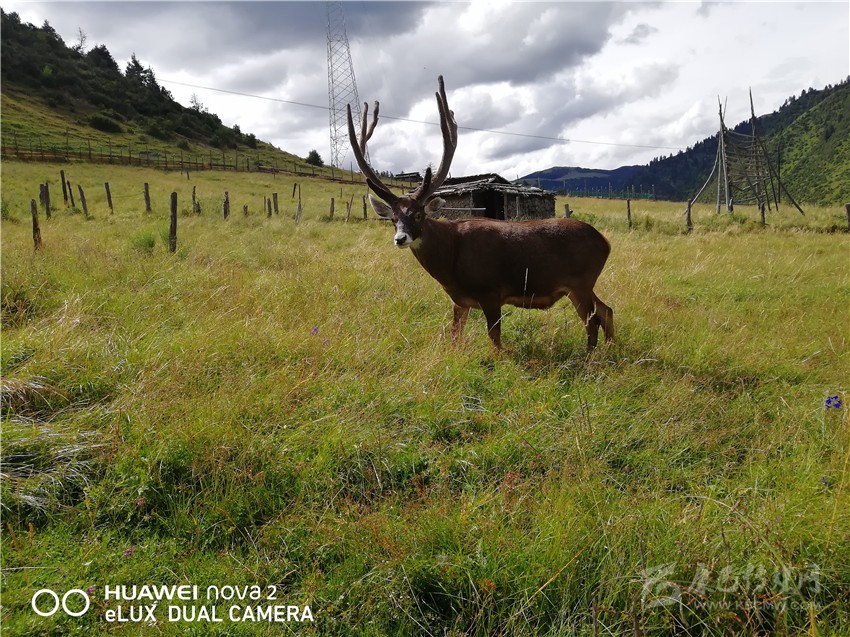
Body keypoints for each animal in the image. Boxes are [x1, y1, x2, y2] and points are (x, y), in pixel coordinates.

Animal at [347, 76, 614, 351]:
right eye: (393, 218)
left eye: (419, 214)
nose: (400, 238)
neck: (451, 259)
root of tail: (605, 242)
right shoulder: (459, 300)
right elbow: (455, 336)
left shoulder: (491, 291)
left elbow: (495, 340)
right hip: (583, 284)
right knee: (607, 310)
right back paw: (610, 348)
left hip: (580, 280)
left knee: (592, 321)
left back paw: (591, 355)